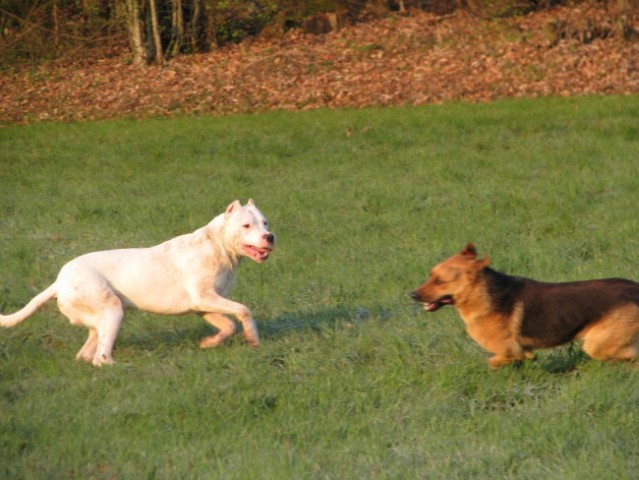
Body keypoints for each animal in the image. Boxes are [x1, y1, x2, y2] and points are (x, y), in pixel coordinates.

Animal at [0, 200, 276, 368]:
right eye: (246, 225)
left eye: (265, 223)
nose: (270, 236)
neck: (218, 244)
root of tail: (59, 281)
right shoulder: (206, 298)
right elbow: (243, 310)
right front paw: (253, 338)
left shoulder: (204, 304)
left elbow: (228, 324)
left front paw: (210, 342)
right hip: (112, 311)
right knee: (101, 357)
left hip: (101, 319)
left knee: (90, 350)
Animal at [410, 244, 639, 368]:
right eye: (430, 276)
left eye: (440, 281)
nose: (411, 294)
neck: (480, 292)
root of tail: (635, 288)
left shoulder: (510, 350)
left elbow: (496, 361)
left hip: (595, 345)